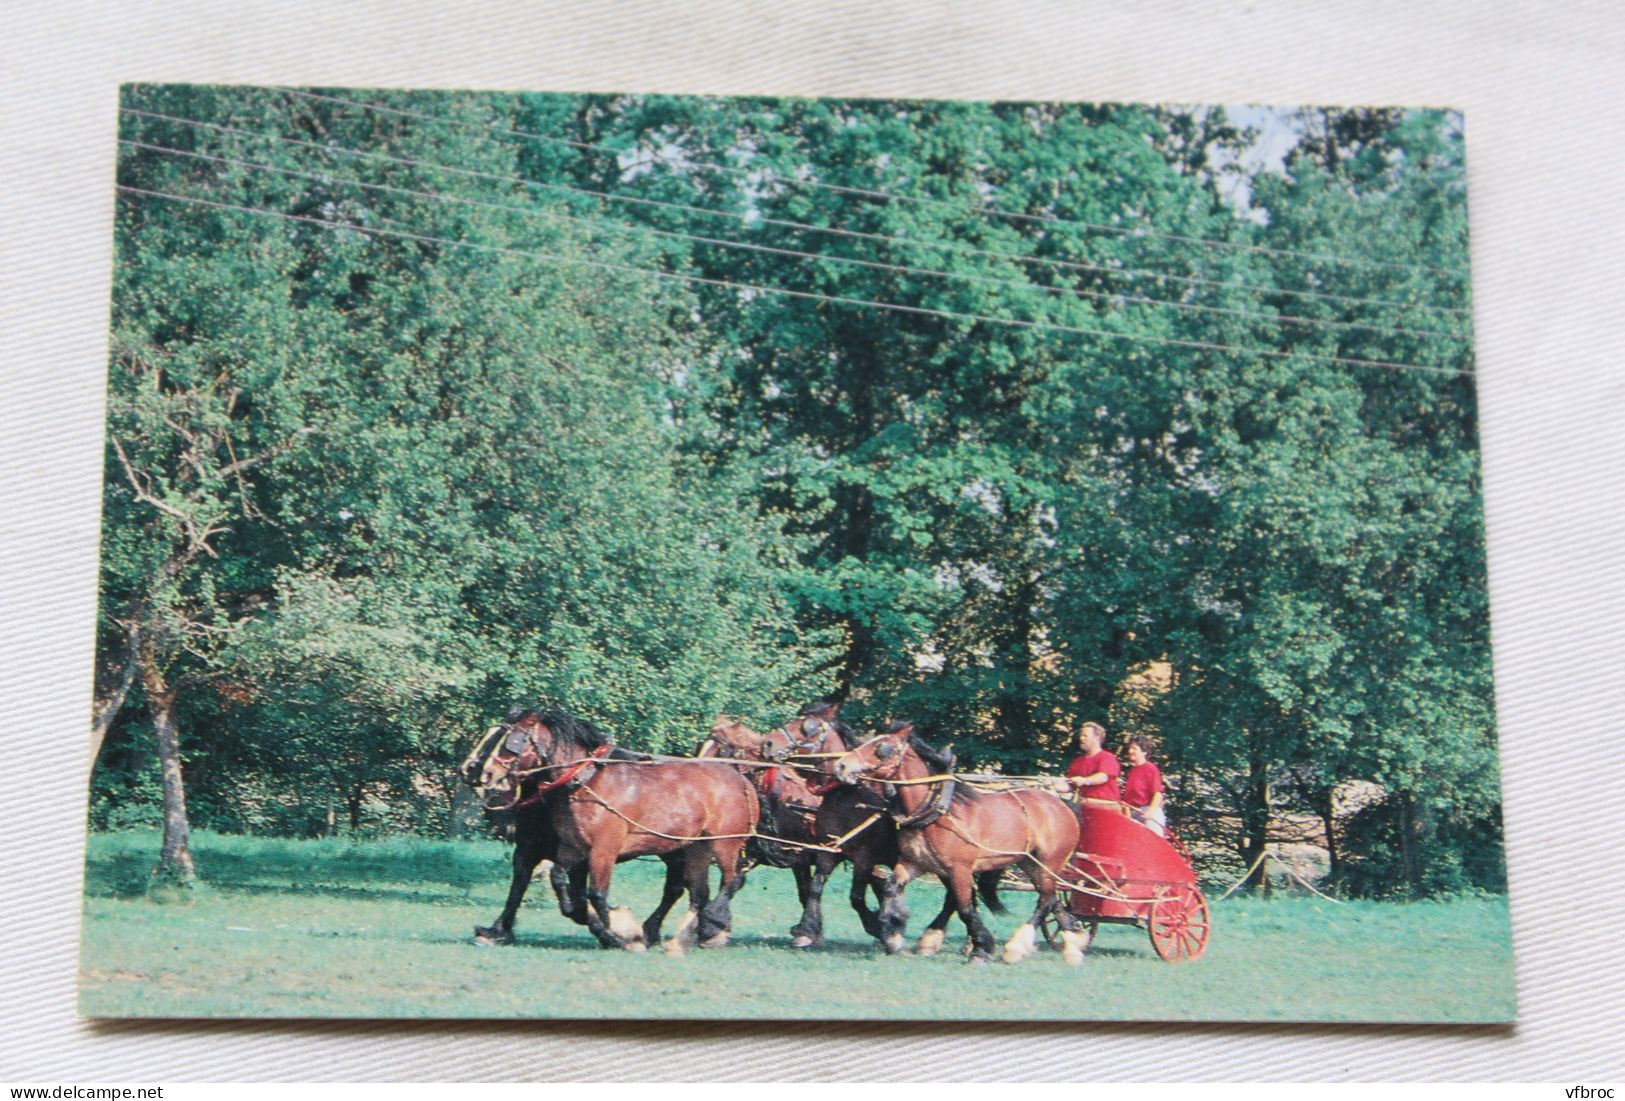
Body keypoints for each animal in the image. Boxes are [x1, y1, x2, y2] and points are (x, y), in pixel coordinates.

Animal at [474, 708, 757, 954]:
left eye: (512, 741)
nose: (486, 774)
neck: (586, 783)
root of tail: (740, 779)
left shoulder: (603, 851)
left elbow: (597, 894)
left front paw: (620, 935)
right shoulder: (573, 848)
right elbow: (558, 880)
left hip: (725, 844)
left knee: (731, 881)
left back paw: (712, 928)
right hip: (696, 848)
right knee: (699, 894)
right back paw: (683, 940)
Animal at [838, 724, 1092, 967]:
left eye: (882, 748)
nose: (841, 765)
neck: (935, 811)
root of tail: (1061, 804)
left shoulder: (959, 869)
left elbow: (965, 908)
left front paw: (980, 949)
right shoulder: (914, 863)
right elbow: (891, 888)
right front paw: (892, 934)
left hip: (1049, 863)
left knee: (1045, 900)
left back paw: (1017, 948)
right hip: (1030, 863)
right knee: (1051, 898)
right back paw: (1073, 943)